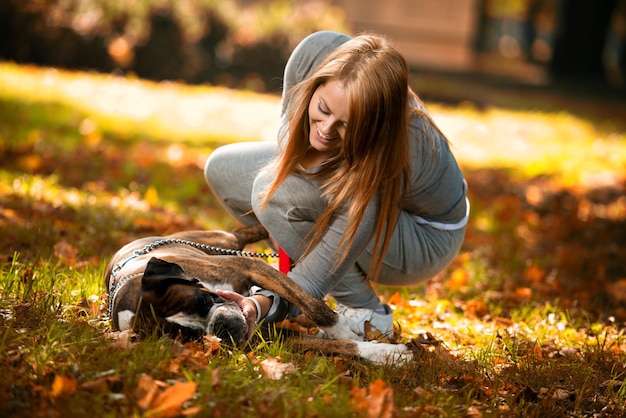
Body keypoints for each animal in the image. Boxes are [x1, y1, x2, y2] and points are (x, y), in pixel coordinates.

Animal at [105, 224, 412, 364]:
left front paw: (342, 329)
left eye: (204, 301)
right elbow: (336, 346)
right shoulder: (261, 337)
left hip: (224, 242)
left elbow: (312, 304)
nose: (222, 327)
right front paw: (387, 354)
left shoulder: (251, 267)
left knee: (242, 233)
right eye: (191, 338)